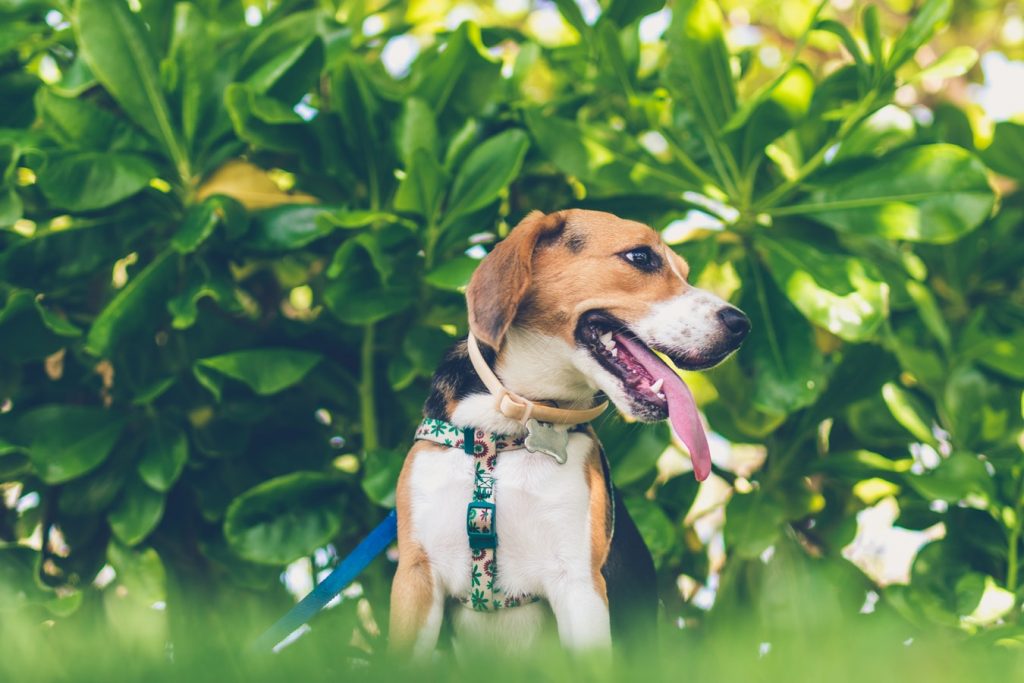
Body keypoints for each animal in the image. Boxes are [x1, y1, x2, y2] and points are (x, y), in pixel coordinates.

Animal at [387, 208, 749, 655]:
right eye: (641, 257)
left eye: (684, 272)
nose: (742, 324)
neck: (509, 430)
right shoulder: (416, 578)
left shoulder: (579, 584)